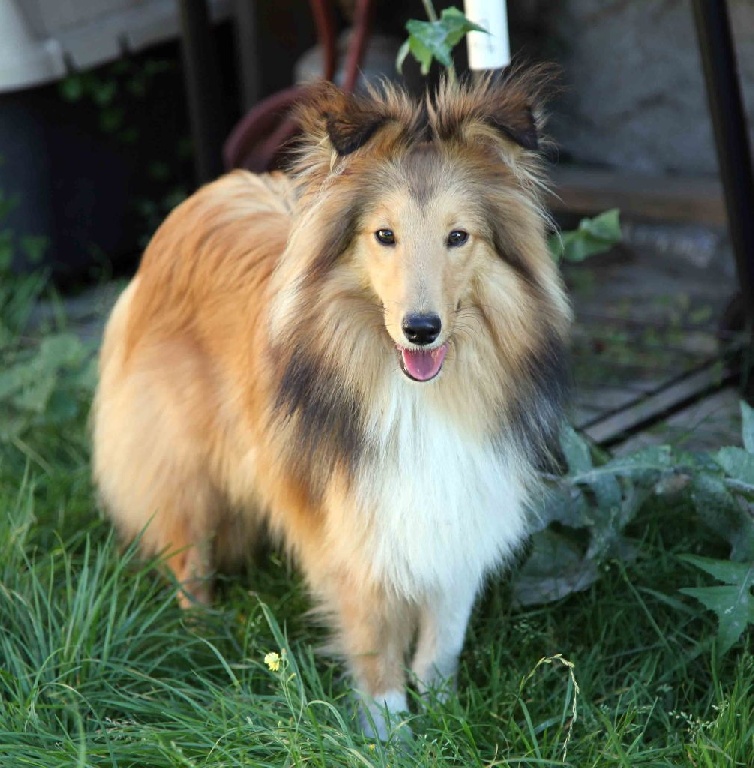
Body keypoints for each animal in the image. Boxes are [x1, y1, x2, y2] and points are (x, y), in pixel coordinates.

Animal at [91, 70, 568, 736]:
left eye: (458, 237)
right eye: (384, 235)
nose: (421, 330)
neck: (418, 396)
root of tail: (204, 197)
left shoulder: (458, 514)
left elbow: (442, 642)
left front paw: (445, 719)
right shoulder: (355, 533)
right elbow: (375, 654)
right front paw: (392, 738)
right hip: (179, 459)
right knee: (191, 556)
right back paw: (202, 637)